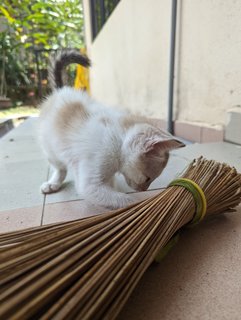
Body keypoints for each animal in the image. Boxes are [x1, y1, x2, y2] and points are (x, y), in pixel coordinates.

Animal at [38, 50, 185, 208]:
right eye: (147, 178)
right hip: (50, 148)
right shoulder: (91, 181)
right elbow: (125, 200)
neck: (117, 141)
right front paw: (143, 203)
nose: (143, 189)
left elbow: (110, 187)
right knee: (60, 167)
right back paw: (52, 184)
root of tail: (61, 90)